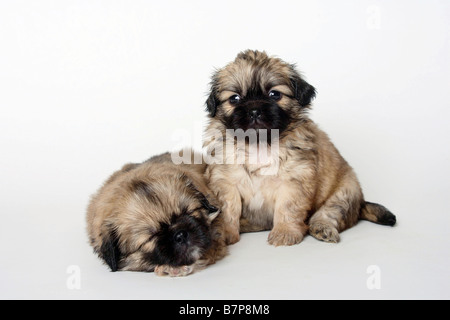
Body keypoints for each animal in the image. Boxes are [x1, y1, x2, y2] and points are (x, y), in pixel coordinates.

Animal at [202, 50, 396, 246]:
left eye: (274, 94)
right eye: (234, 98)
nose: (254, 110)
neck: (260, 144)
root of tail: (361, 203)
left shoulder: (294, 182)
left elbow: (287, 208)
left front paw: (285, 232)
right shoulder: (226, 182)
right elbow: (228, 210)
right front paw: (224, 232)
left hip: (344, 193)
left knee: (329, 213)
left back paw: (322, 228)